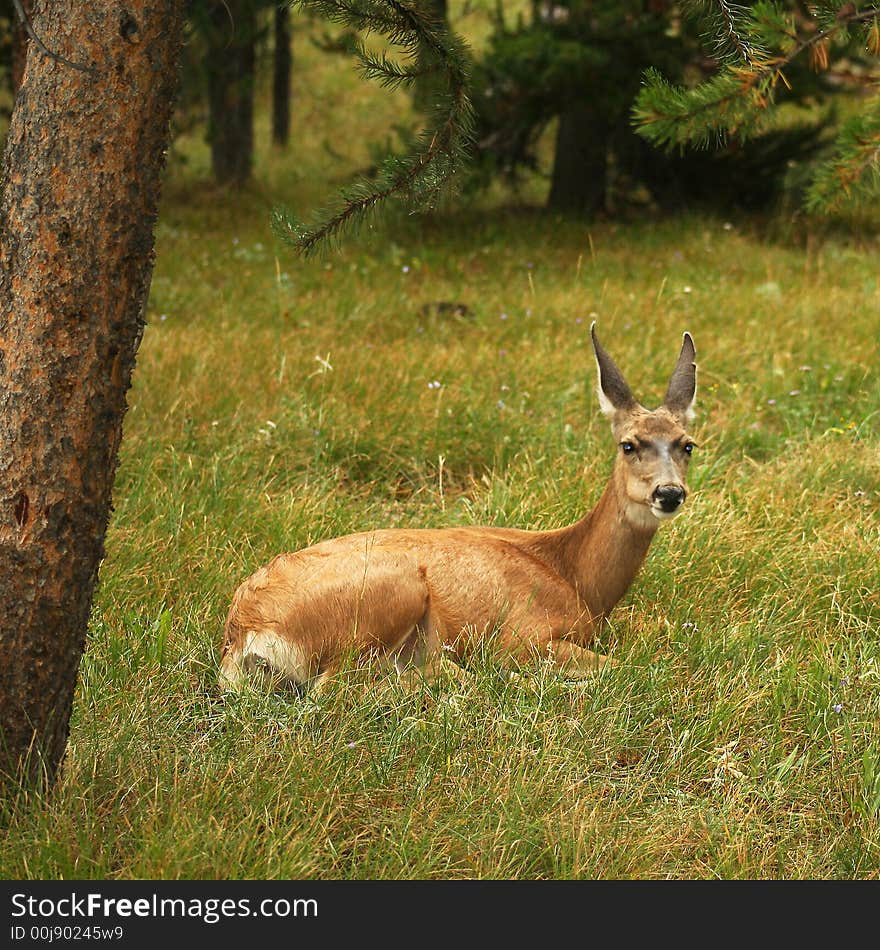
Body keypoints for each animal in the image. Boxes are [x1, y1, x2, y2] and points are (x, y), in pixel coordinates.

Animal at [222, 326, 700, 692]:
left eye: (687, 445)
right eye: (629, 444)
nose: (669, 493)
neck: (576, 578)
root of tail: (244, 632)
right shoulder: (522, 634)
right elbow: (627, 668)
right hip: (393, 587)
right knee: (338, 686)